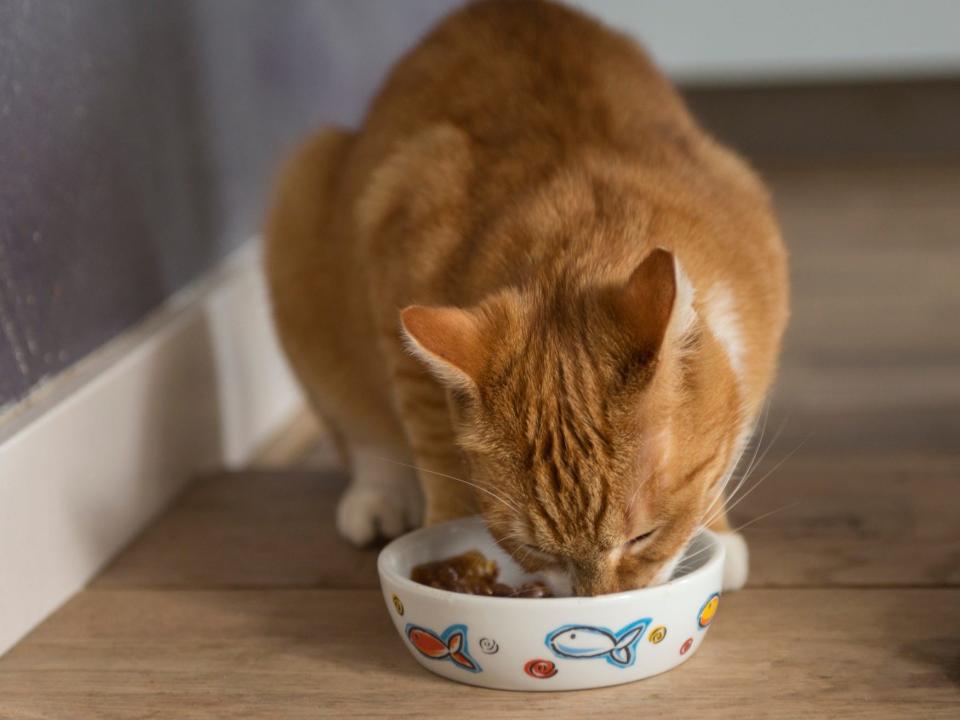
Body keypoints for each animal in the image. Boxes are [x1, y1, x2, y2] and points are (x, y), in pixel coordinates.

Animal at [264, 0, 788, 596]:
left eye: (643, 537)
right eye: (539, 551)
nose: (597, 603)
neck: (581, 236)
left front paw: (717, 532)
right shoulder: (397, 244)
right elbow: (435, 444)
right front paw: (442, 548)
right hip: (304, 198)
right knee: (362, 431)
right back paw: (377, 498)